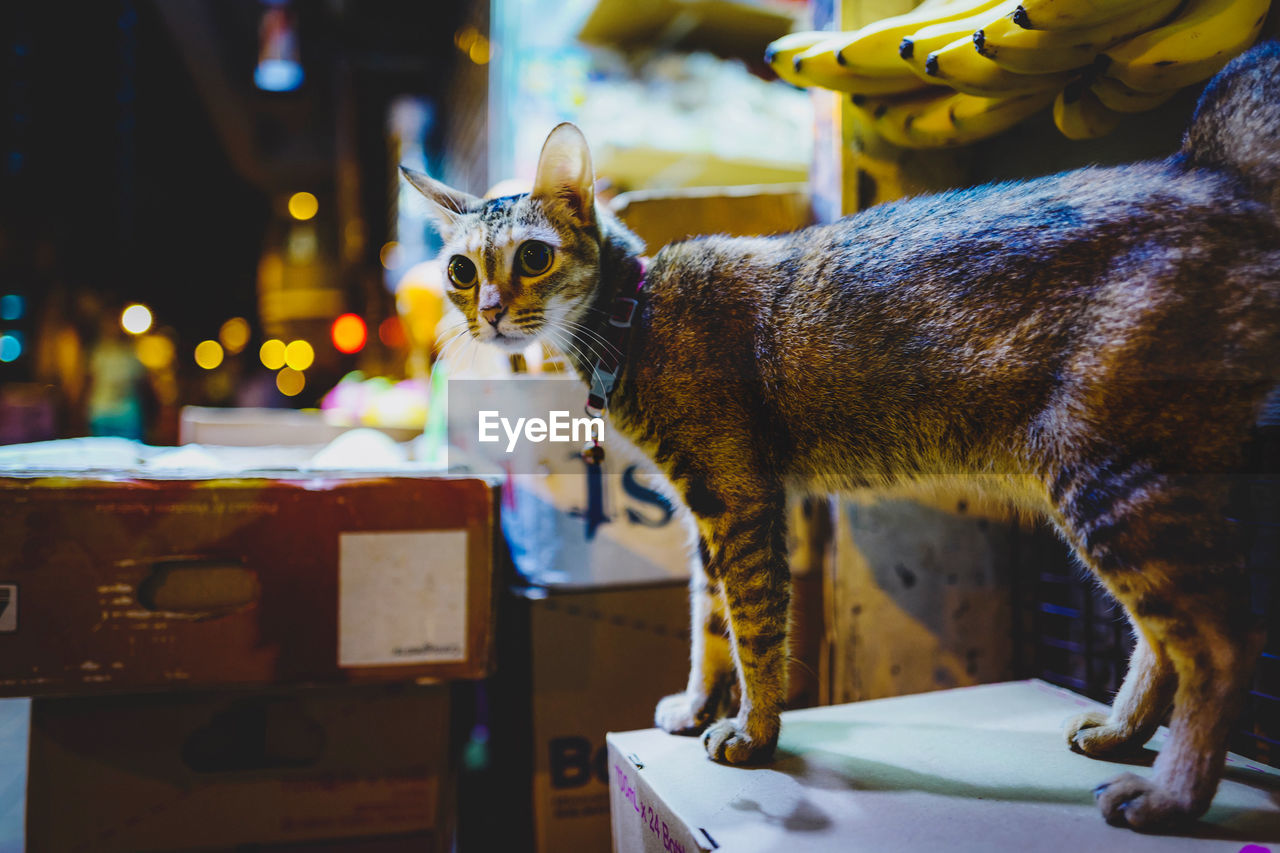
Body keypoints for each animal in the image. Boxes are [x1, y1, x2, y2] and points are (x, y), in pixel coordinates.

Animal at [407, 41, 1280, 829]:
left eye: (532, 256)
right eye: (460, 270)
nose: (488, 311)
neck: (636, 313)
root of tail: (1211, 169)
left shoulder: (739, 501)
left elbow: (756, 629)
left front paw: (754, 731)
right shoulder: (706, 513)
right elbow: (709, 621)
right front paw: (698, 704)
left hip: (1107, 475)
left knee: (1223, 640)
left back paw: (1171, 795)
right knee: (1161, 638)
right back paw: (1120, 731)